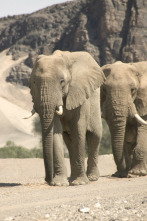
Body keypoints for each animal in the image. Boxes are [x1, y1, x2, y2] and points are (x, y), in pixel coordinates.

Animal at [25, 49, 105, 185]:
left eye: (62, 81)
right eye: (34, 82)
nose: (47, 180)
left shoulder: (80, 92)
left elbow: (78, 128)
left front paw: (80, 183)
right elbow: (55, 130)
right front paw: (59, 183)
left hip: (95, 99)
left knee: (95, 135)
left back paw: (92, 177)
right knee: (69, 139)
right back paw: (72, 178)